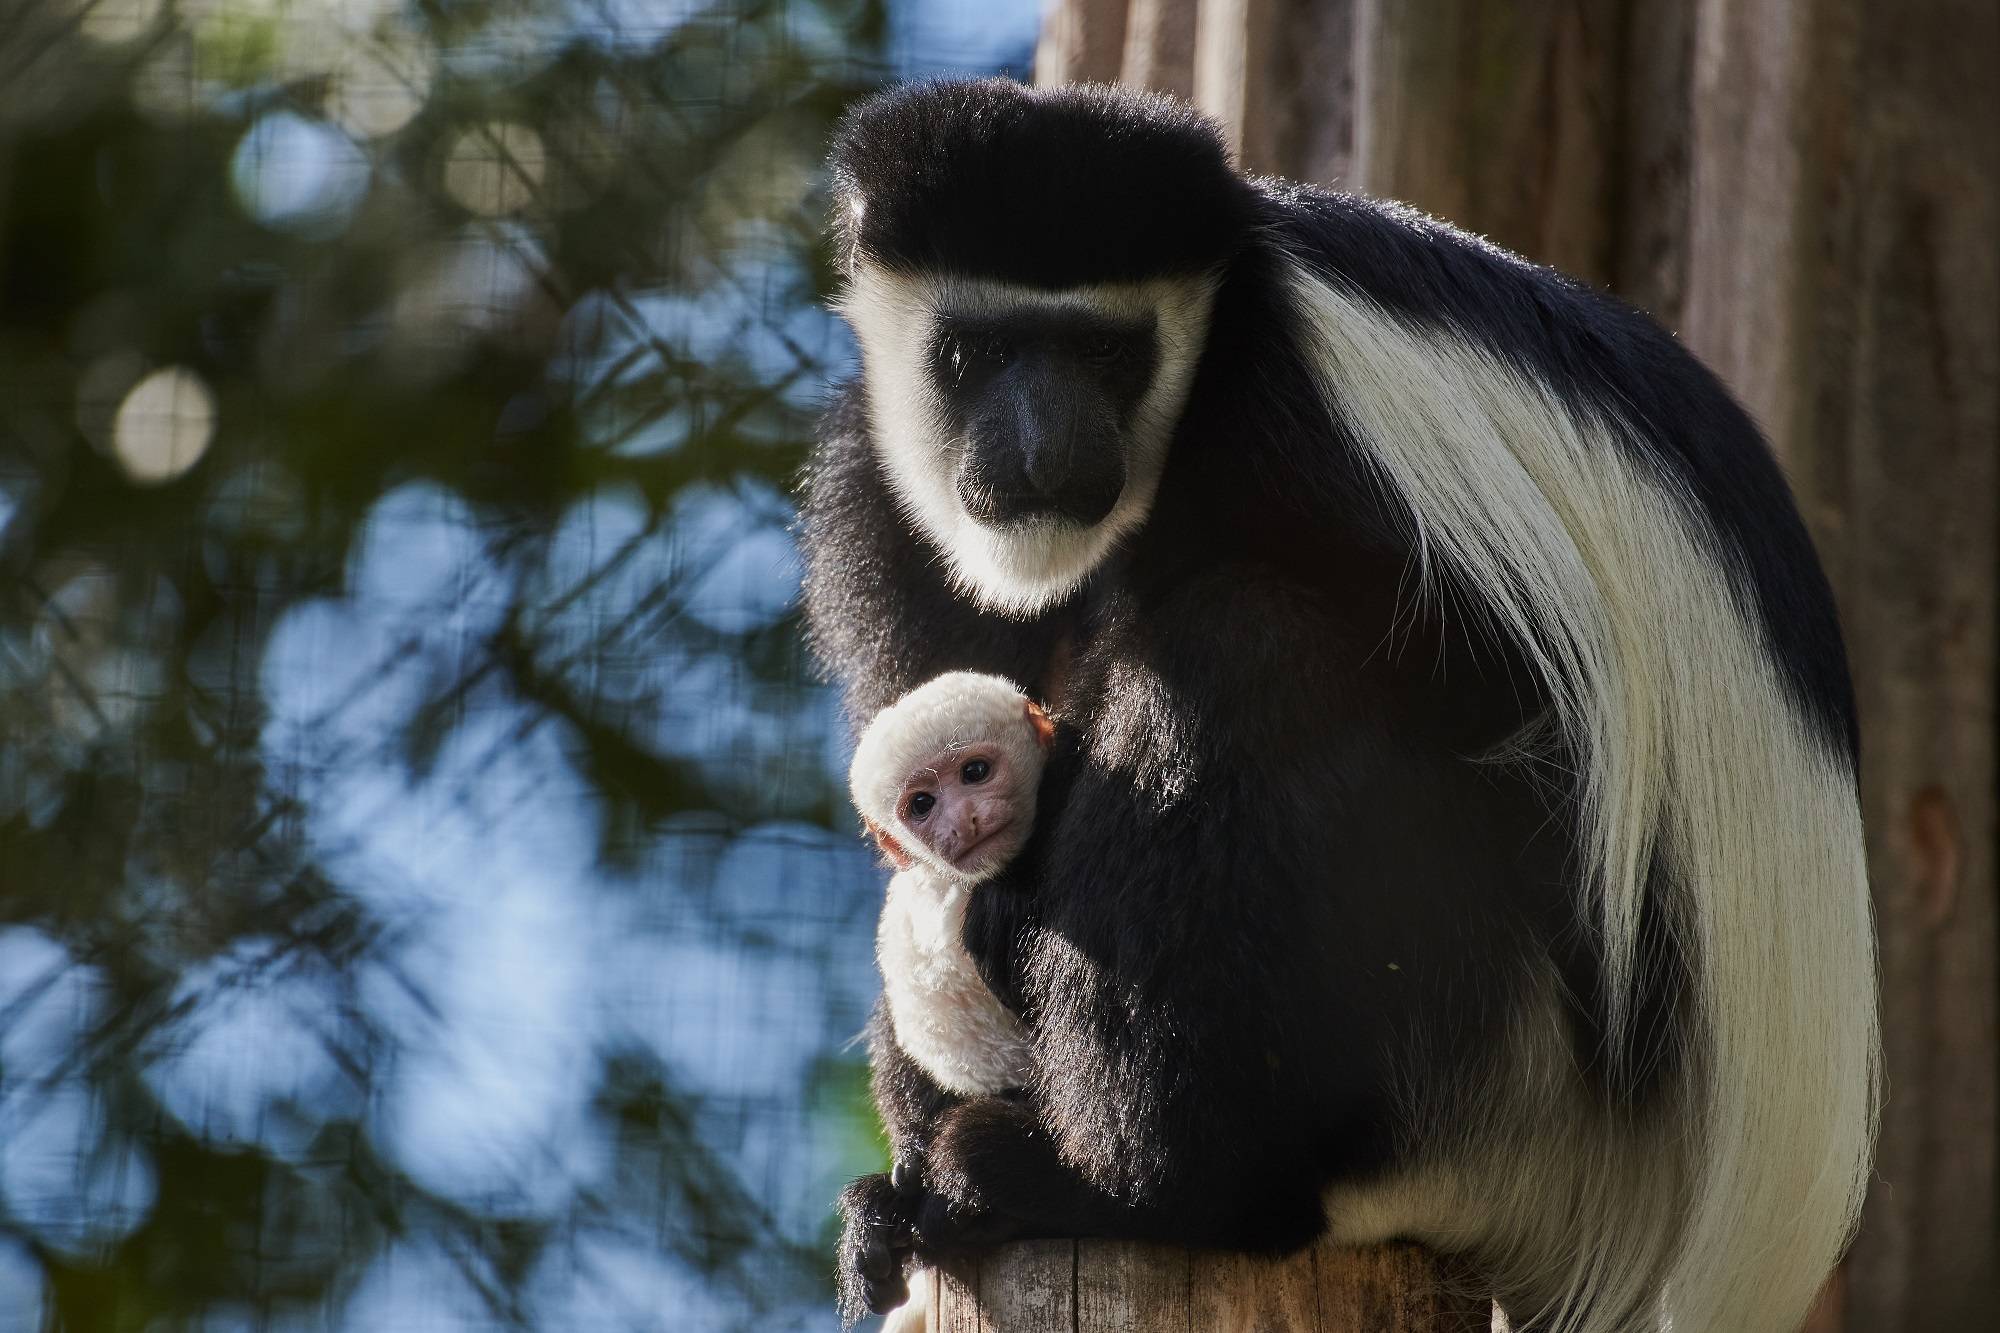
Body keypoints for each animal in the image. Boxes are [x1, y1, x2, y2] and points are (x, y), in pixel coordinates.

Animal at [802, 78, 1877, 1333]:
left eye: (1109, 354)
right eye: (972, 352)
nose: (1046, 452)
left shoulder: (1310, 421)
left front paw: (1006, 906)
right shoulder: (873, 500)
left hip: (1491, 1054)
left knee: (1249, 652)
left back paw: (1124, 1183)